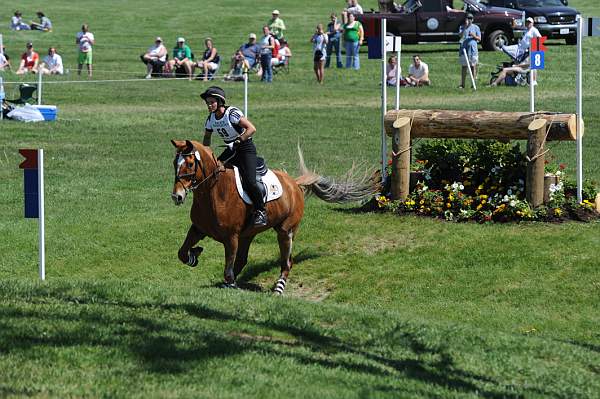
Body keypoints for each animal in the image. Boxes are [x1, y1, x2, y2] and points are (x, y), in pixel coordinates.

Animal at [171, 141, 376, 294]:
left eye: (190, 164)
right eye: (174, 163)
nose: (176, 196)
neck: (215, 192)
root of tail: (294, 183)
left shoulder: (231, 237)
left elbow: (228, 268)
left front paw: (230, 284)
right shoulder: (198, 229)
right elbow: (182, 253)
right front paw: (194, 255)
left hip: (285, 231)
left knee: (287, 262)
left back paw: (278, 288)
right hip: (248, 234)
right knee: (243, 260)